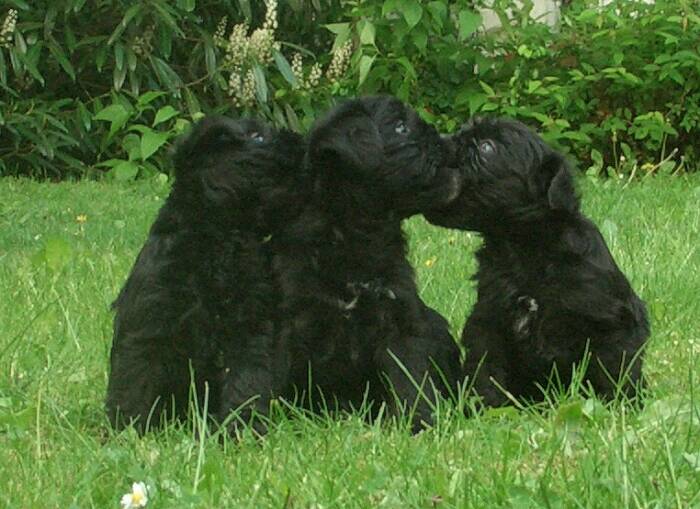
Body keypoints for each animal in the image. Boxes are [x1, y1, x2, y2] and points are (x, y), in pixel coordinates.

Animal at [105, 116, 308, 432]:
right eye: (257, 136)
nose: (301, 141)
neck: (220, 238)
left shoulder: (250, 333)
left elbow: (246, 383)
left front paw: (241, 430)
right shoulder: (149, 327)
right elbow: (134, 382)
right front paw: (127, 431)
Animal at [254, 96, 462, 431]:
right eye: (400, 127)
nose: (448, 140)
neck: (355, 236)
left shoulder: (400, 323)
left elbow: (412, 380)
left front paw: (420, 424)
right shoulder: (287, 324)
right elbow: (272, 378)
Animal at [425, 117, 649, 407]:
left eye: (487, 146)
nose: (437, 142)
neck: (524, 249)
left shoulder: (612, 322)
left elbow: (616, 368)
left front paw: (622, 406)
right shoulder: (488, 323)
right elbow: (486, 371)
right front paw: (485, 407)